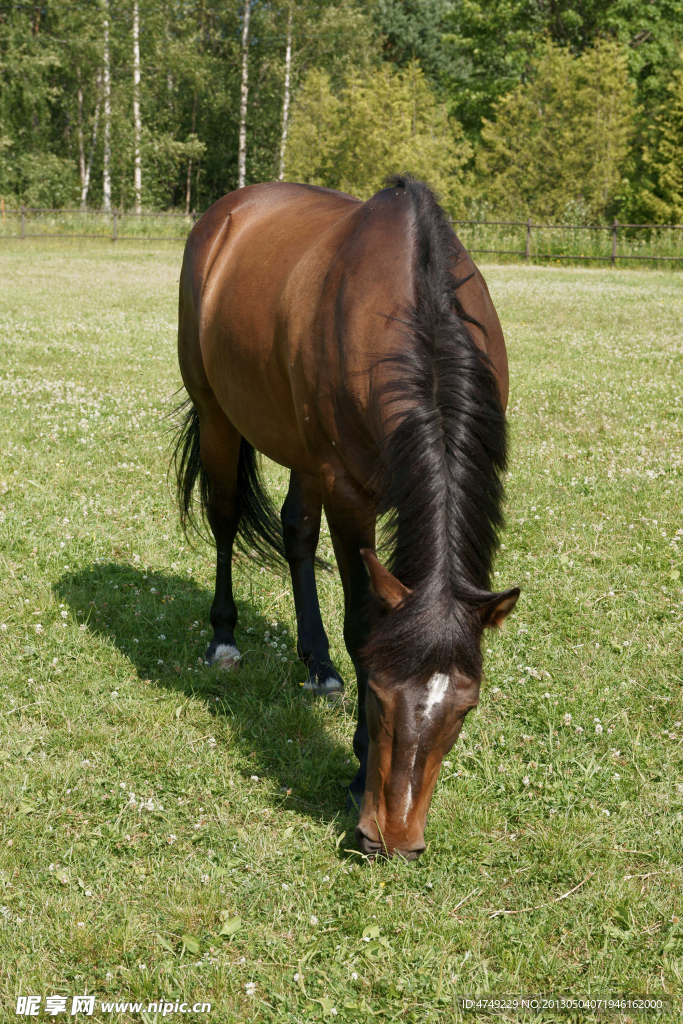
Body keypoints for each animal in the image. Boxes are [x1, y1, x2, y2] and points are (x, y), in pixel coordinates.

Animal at [174, 175, 519, 860]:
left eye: (465, 708)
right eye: (381, 696)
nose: (397, 838)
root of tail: (226, 212)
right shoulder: (349, 491)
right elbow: (363, 624)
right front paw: (360, 771)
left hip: (301, 449)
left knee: (296, 533)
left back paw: (319, 666)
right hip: (220, 413)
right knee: (225, 518)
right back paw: (224, 640)